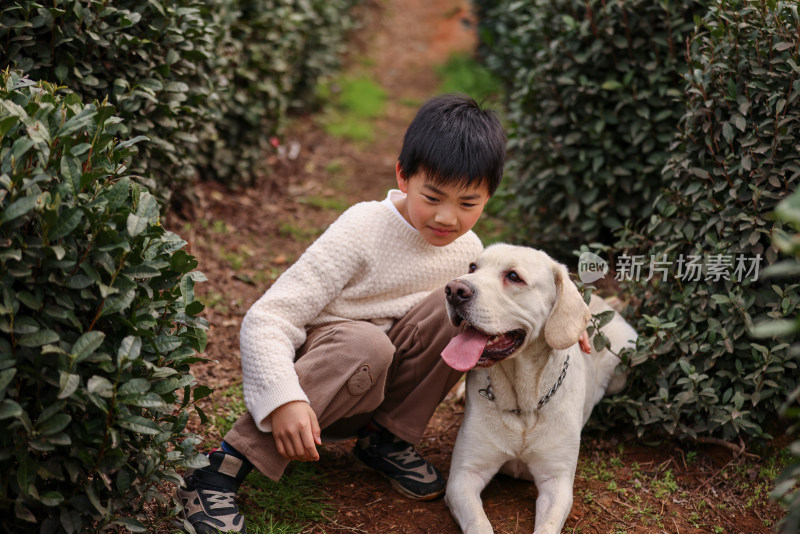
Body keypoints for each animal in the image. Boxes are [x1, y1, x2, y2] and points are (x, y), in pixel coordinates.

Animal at [440, 245, 636, 532]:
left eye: (513, 276)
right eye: (473, 267)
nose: (454, 290)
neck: (523, 404)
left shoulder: (557, 482)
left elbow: (547, 525)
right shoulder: (464, 476)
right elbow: (479, 524)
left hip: (624, 362)